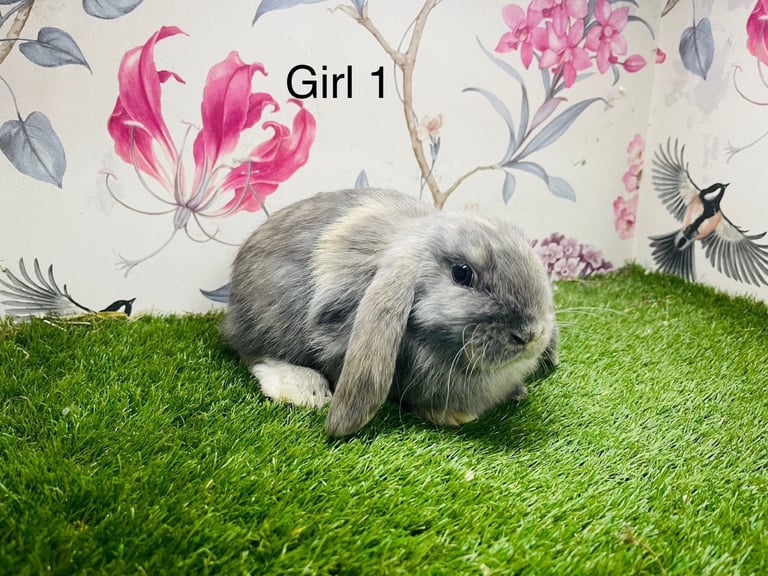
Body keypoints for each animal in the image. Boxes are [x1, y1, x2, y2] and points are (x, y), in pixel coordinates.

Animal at [222, 188, 559, 437]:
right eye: (462, 274)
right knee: (257, 354)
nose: (531, 334)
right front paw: (454, 415)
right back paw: (306, 390)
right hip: (270, 319)